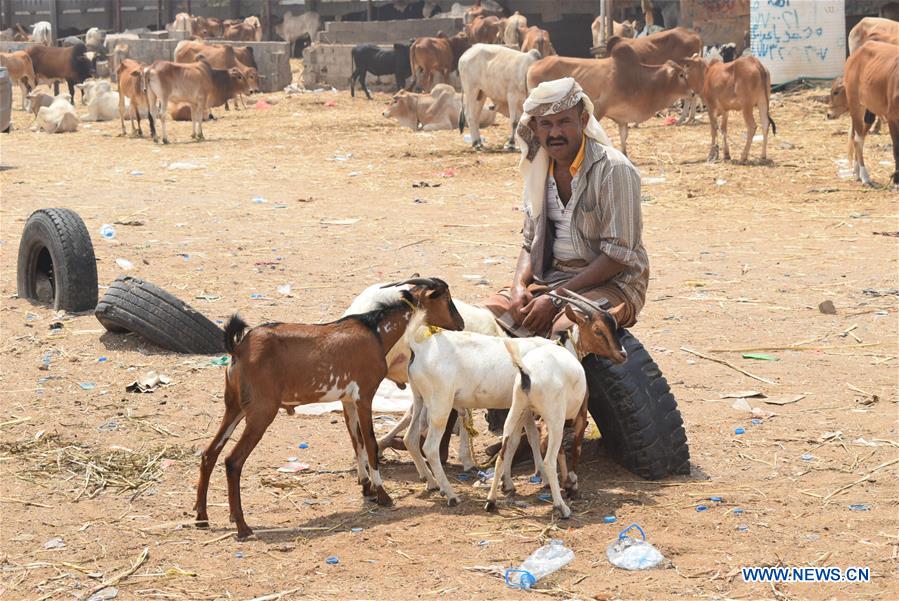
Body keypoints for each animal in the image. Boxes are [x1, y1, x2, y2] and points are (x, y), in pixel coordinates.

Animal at [196, 278, 464, 540]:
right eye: (446, 298)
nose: (460, 324)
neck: (375, 333)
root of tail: (239, 348)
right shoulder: (365, 396)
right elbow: (370, 442)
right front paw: (382, 495)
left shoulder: (348, 400)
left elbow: (356, 441)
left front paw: (366, 487)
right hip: (261, 412)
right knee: (233, 461)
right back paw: (242, 527)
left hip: (234, 407)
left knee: (210, 453)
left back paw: (201, 517)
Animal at [524, 43, 692, 156]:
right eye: (681, 75)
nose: (692, 92)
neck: (638, 79)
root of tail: (533, 65)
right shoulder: (599, 108)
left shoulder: (623, 116)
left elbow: (624, 136)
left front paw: (625, 155)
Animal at [828, 41, 896, 186]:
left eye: (836, 92)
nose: (829, 114)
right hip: (859, 111)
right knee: (858, 138)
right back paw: (864, 175)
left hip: (866, 114)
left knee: (858, 138)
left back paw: (858, 171)